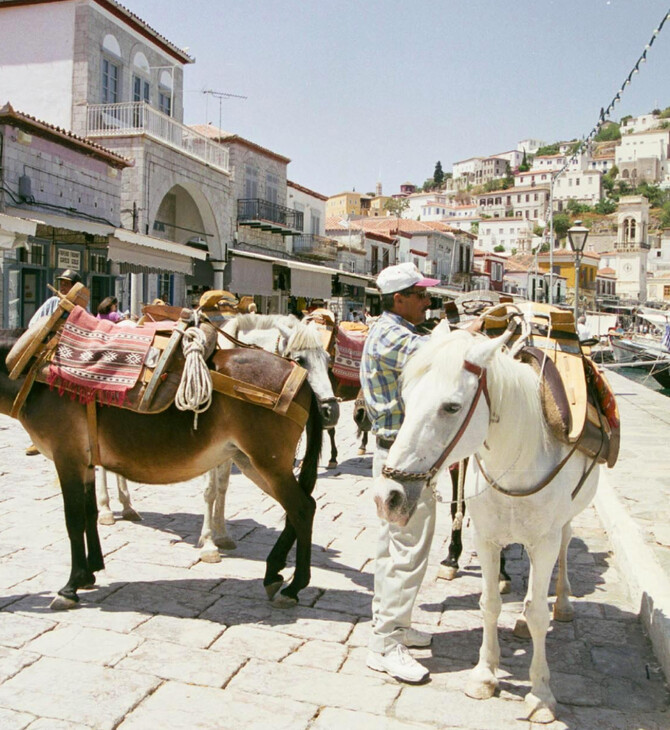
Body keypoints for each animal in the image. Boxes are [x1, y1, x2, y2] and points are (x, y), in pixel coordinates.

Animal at [378, 322, 604, 720]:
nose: (389, 497)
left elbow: (539, 614)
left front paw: (541, 694)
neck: (518, 456)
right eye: (405, 396)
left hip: (565, 523)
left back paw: (562, 603)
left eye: (451, 407)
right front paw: (485, 675)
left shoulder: (543, 541)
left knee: (563, 550)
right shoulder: (486, 539)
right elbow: (490, 605)